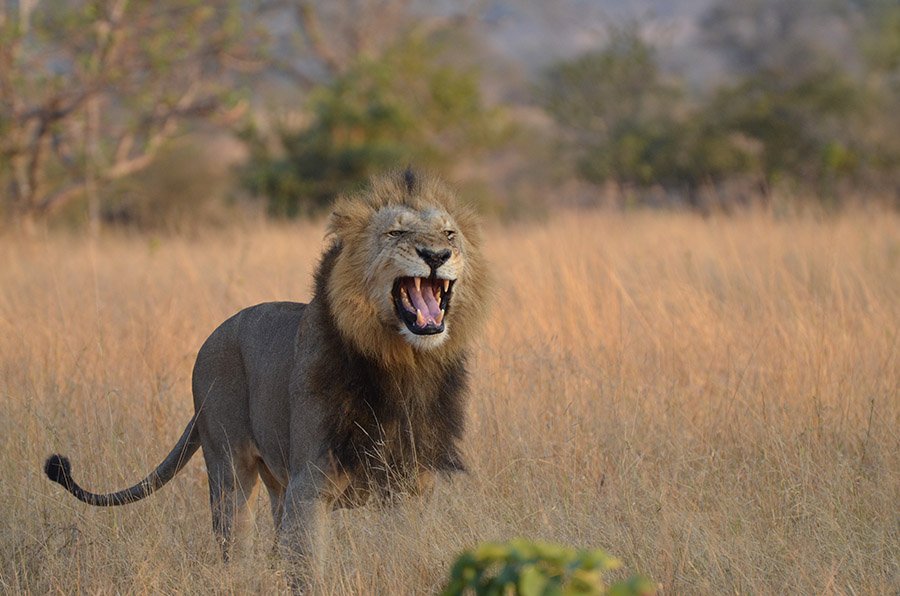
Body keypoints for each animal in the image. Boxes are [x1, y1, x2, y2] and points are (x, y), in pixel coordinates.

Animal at [43, 169, 489, 578]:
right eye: (396, 232)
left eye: (449, 234)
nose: (436, 256)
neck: (401, 364)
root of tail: (214, 334)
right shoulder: (308, 489)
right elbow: (308, 571)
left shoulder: (414, 487)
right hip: (229, 467)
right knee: (233, 542)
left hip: (277, 479)